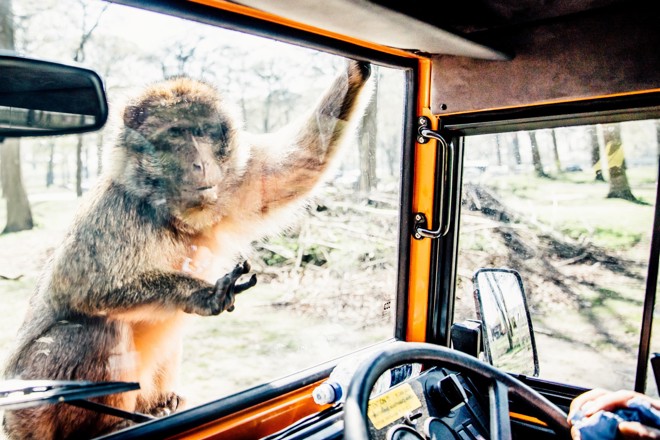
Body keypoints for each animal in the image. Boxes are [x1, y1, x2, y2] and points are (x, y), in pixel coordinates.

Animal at [1, 59, 372, 440]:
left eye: (205, 132)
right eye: (176, 134)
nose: (202, 163)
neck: (168, 210)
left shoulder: (232, 182)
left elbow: (297, 164)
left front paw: (354, 73)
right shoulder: (113, 213)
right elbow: (83, 287)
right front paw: (199, 293)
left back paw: (160, 405)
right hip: (34, 407)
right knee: (92, 328)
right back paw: (113, 423)